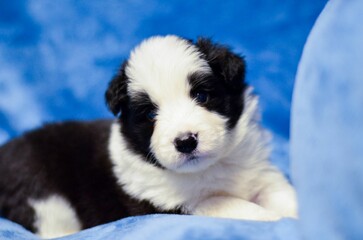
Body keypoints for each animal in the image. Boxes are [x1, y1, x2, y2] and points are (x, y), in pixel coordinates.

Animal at [0, 35, 298, 238]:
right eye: (151, 114)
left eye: (202, 96)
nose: (186, 141)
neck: (208, 168)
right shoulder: (169, 204)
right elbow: (232, 205)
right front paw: (276, 221)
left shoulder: (260, 173)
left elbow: (282, 194)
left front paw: (295, 213)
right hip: (42, 194)